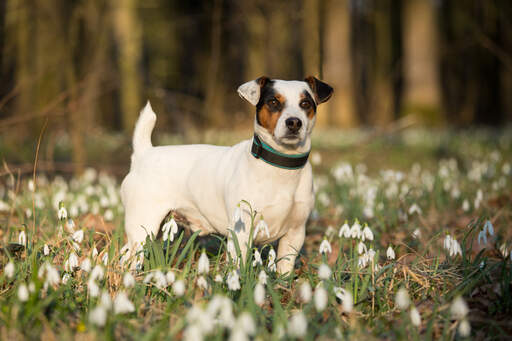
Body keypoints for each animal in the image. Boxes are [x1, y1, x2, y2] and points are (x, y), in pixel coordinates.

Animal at [122, 76, 334, 274]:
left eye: (305, 104)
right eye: (273, 102)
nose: (294, 122)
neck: (280, 167)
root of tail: (144, 153)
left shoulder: (295, 233)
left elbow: (285, 268)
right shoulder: (241, 232)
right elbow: (239, 265)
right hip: (144, 224)